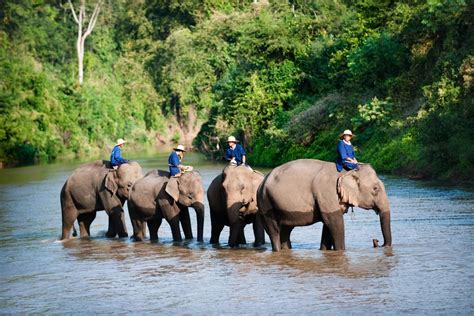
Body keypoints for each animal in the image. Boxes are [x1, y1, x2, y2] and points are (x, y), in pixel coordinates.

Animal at [258, 160, 390, 252]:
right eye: (375, 188)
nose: (376, 240)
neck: (346, 171)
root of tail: (262, 182)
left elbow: (328, 225)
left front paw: (324, 250)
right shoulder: (327, 193)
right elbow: (335, 223)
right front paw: (341, 251)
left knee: (286, 230)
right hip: (266, 203)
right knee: (274, 230)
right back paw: (277, 250)